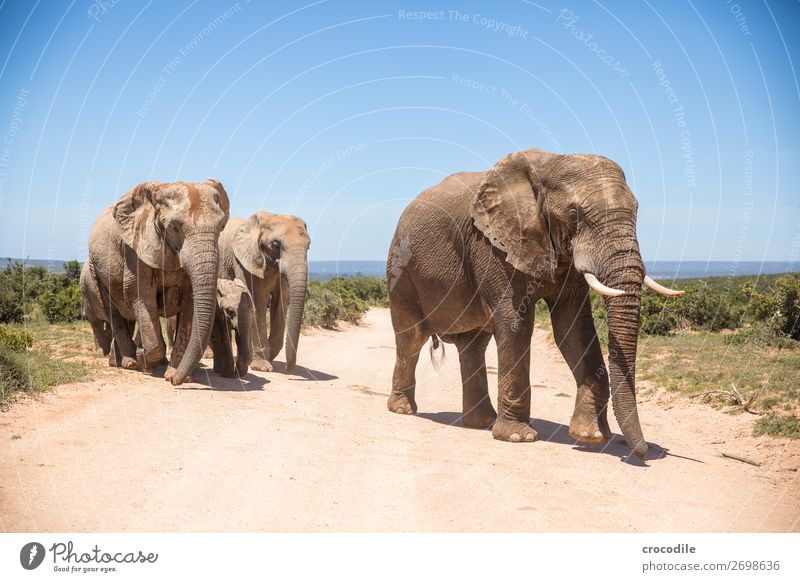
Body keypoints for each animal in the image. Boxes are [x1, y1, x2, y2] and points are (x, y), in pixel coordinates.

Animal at [82, 180, 228, 386]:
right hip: (95, 272)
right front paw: (145, 358)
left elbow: (190, 305)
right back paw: (129, 363)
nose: (175, 382)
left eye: (222, 226)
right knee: (114, 314)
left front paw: (176, 374)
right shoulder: (135, 251)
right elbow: (141, 296)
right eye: (174, 227)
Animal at [220, 213, 310, 374]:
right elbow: (256, 303)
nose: (287, 371)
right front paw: (262, 367)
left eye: (309, 246)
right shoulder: (243, 262)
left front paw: (269, 358)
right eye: (275, 244)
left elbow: (280, 303)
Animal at [386, 148, 680, 458]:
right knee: (411, 338)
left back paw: (482, 422)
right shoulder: (495, 245)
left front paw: (591, 436)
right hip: (401, 269)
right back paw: (403, 409)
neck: (549, 164)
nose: (643, 452)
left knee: (472, 346)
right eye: (574, 215)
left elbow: (573, 329)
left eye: (636, 211)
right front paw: (518, 437)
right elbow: (516, 323)